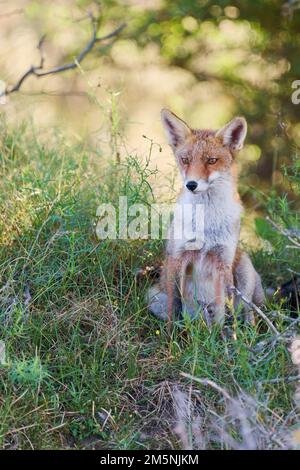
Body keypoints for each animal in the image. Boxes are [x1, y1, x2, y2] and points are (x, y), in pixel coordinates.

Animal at [147, 108, 262, 324]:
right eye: (185, 160)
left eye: (211, 160)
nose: (191, 184)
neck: (205, 223)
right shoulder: (178, 256)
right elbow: (174, 306)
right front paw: (171, 333)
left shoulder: (223, 260)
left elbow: (223, 310)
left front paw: (224, 333)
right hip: (154, 297)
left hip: (244, 270)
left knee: (247, 312)